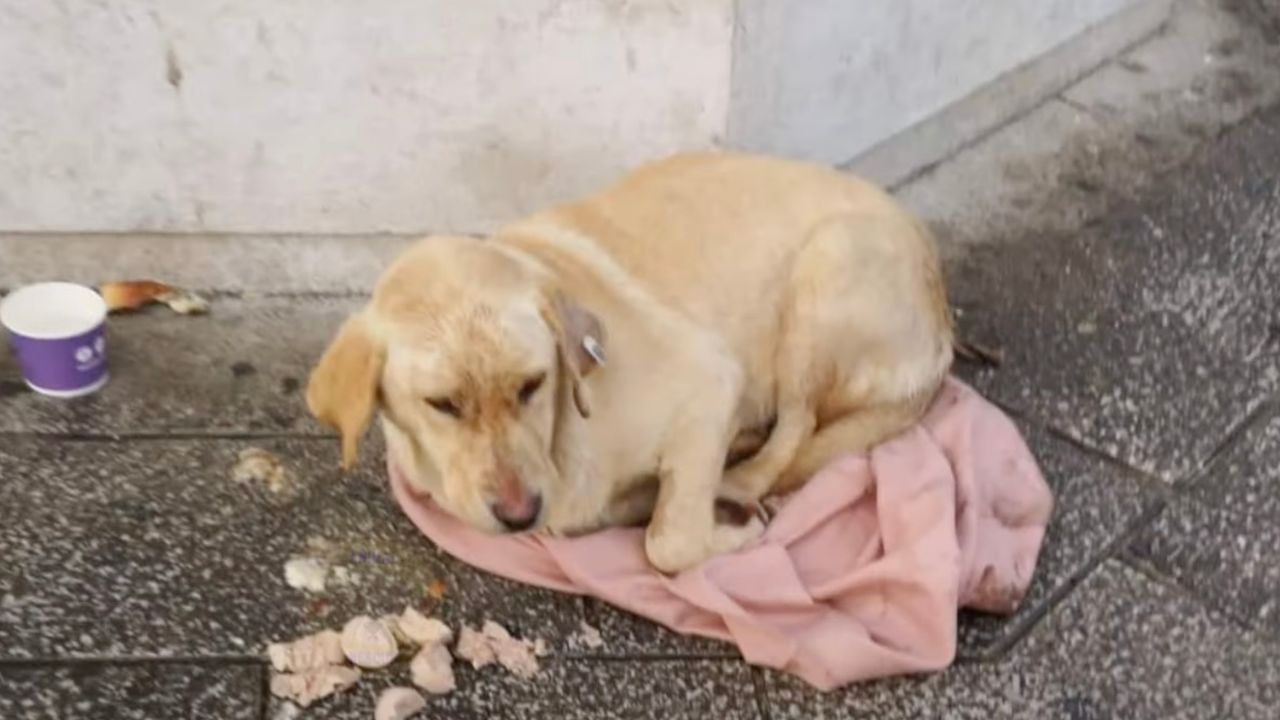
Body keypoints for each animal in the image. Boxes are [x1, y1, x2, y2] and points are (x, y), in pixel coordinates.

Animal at [307, 152, 952, 571]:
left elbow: (668, 544)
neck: (564, 443)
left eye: (532, 385)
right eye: (442, 404)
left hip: (826, 268)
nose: (519, 514)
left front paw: (725, 531)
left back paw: (742, 479)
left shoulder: (711, 384)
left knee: (798, 427)